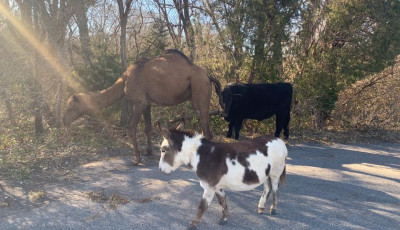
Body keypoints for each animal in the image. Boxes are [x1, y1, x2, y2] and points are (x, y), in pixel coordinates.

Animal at [63, 49, 223, 165]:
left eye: (70, 107)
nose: (62, 120)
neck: (124, 81)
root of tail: (208, 76)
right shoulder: (147, 104)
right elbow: (148, 127)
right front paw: (148, 152)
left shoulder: (138, 102)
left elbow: (131, 128)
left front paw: (136, 159)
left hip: (200, 91)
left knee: (205, 127)